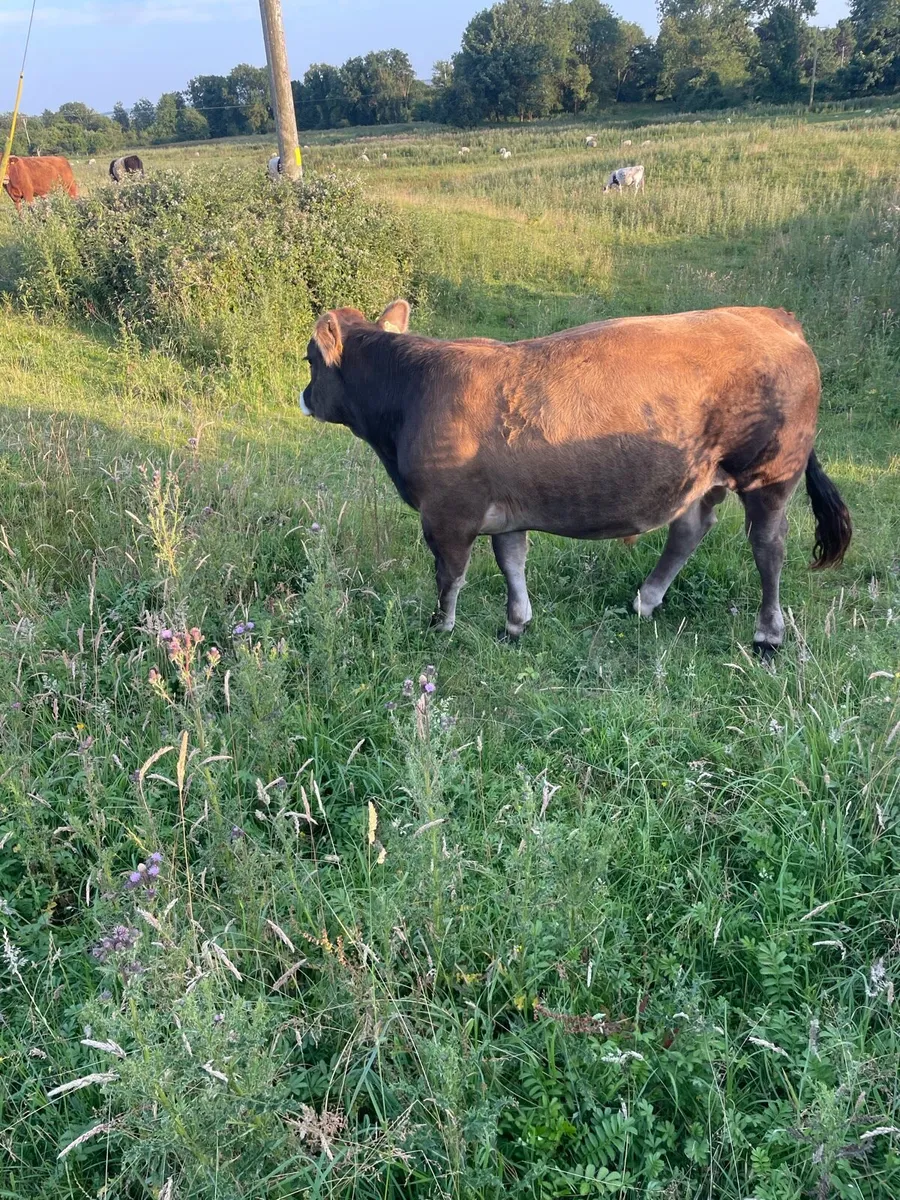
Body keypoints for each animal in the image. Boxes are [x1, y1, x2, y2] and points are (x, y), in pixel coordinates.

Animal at [300, 302, 852, 654]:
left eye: (308, 359)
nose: (303, 396)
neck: (415, 390)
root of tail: (769, 316)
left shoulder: (447, 515)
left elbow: (449, 577)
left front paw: (440, 628)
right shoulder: (505, 511)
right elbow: (512, 562)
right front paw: (515, 624)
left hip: (769, 473)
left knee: (768, 546)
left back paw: (767, 635)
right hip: (702, 474)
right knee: (690, 529)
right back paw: (646, 600)